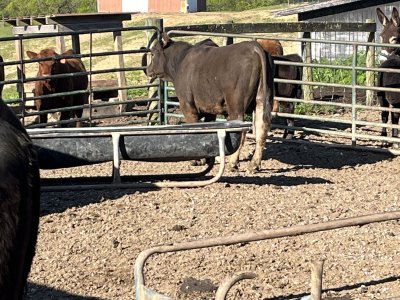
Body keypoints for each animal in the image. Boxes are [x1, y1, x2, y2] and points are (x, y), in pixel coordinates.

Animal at [147, 32, 276, 171]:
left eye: (153, 53)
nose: (147, 69)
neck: (180, 61)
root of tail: (254, 47)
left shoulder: (187, 106)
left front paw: (197, 160)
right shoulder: (210, 108)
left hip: (236, 105)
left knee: (241, 131)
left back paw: (233, 162)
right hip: (263, 98)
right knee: (262, 128)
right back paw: (254, 164)